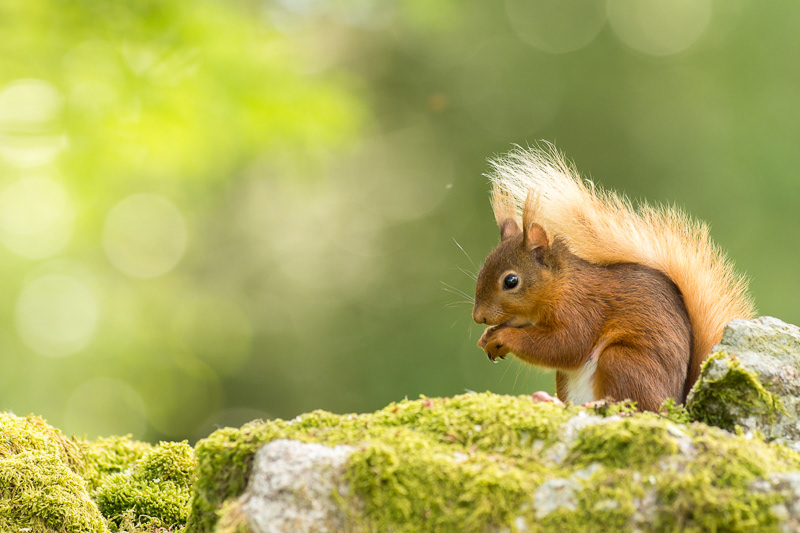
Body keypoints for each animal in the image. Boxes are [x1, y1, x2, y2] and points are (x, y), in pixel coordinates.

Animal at [472, 145, 755, 411]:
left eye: (511, 281)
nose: (478, 317)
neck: (562, 285)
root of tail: (674, 402)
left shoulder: (583, 309)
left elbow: (566, 345)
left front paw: (503, 337)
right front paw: (486, 337)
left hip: (621, 361)